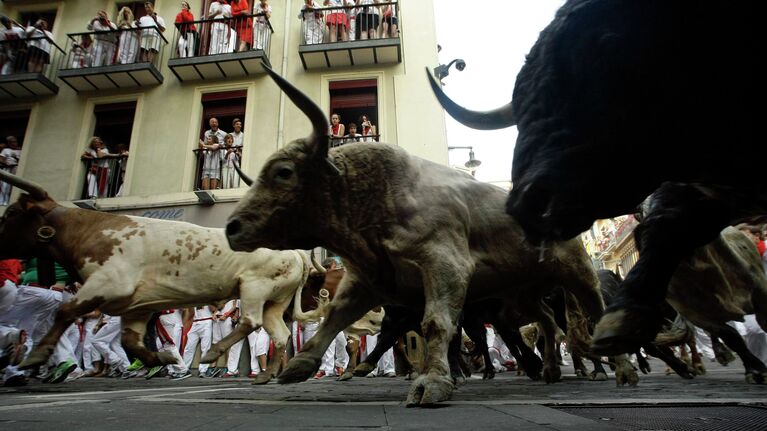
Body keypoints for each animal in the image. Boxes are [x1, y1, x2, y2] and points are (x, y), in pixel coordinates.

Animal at [0, 169, 324, 384]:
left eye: (12, 213)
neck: (91, 231)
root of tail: (296, 252)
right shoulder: (135, 307)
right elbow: (131, 341)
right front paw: (162, 359)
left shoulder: (108, 283)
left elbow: (65, 310)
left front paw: (36, 356)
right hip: (275, 300)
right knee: (279, 334)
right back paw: (267, 376)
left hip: (255, 287)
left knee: (249, 322)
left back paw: (214, 353)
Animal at [225, 66, 632, 406]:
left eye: (284, 172)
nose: (232, 227)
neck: (379, 197)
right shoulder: (366, 281)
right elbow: (335, 318)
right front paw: (301, 365)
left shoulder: (444, 265)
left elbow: (436, 324)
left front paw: (432, 382)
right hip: (523, 290)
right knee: (546, 320)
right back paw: (547, 369)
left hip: (576, 271)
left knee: (595, 311)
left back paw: (622, 371)